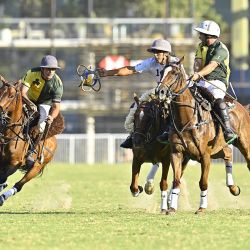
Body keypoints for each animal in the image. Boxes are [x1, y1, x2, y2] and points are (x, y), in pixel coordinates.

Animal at [0, 77, 64, 206]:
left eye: (11, 96)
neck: (9, 134)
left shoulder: (14, 163)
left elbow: (2, 178)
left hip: (36, 168)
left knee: (19, 185)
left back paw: (2, 197)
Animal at [156, 61, 250, 215]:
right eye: (162, 72)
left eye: (175, 73)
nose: (160, 91)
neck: (187, 120)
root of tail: (243, 107)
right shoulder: (177, 153)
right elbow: (176, 180)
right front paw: (172, 208)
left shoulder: (205, 156)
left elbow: (203, 182)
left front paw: (201, 208)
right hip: (215, 149)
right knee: (228, 155)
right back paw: (233, 187)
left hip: (244, 144)